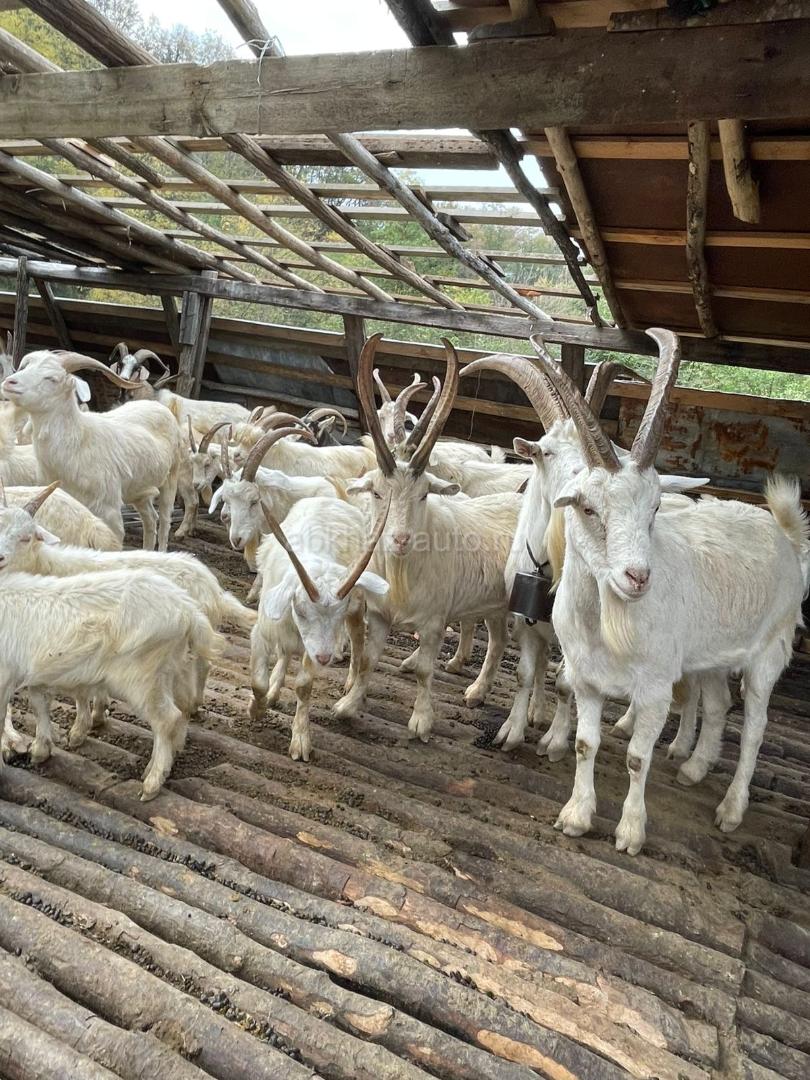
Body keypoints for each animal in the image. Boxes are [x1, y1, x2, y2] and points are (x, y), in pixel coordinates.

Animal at [0, 563, 220, 800]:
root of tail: (189, 611)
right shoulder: (34, 672)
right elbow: (38, 704)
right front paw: (40, 751)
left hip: (142, 677)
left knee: (167, 719)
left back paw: (151, 784)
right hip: (174, 669)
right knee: (182, 709)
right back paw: (164, 761)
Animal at [2, 350, 183, 550]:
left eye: (51, 378)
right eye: (26, 366)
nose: (9, 382)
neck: (79, 441)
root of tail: (159, 405)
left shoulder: (110, 511)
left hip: (171, 477)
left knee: (165, 521)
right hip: (140, 492)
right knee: (150, 518)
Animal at [249, 495, 390, 762]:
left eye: (338, 615)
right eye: (302, 611)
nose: (325, 658)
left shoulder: (315, 646)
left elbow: (303, 687)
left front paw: (301, 742)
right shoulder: (265, 630)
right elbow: (259, 681)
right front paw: (258, 708)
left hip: (357, 606)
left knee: (358, 636)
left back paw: (351, 680)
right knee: (284, 653)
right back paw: (274, 689)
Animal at [338, 334, 521, 741]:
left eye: (424, 494)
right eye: (377, 492)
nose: (401, 540)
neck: (405, 572)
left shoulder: (435, 622)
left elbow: (425, 671)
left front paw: (421, 721)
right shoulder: (379, 614)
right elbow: (368, 659)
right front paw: (348, 705)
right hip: (494, 604)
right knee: (498, 641)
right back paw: (477, 692)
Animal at [531, 329, 807, 854]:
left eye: (657, 507)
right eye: (588, 508)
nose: (638, 577)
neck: (606, 623)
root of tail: (785, 534)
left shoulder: (656, 688)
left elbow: (638, 757)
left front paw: (630, 832)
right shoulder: (587, 680)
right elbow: (585, 743)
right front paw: (576, 815)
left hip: (770, 649)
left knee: (755, 728)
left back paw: (731, 809)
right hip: (712, 655)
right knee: (718, 704)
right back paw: (694, 768)